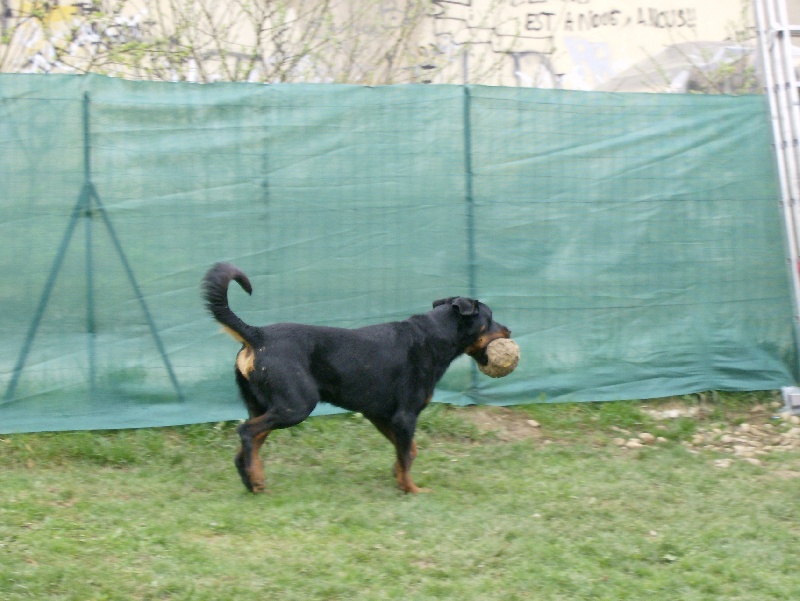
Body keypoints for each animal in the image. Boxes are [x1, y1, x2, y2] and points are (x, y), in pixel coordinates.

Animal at [203, 262, 510, 492]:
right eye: (490, 317)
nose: (508, 330)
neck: (432, 336)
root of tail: (256, 335)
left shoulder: (380, 414)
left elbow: (408, 450)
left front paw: (398, 474)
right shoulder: (404, 416)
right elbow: (407, 455)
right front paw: (411, 489)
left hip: (265, 406)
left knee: (247, 444)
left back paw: (252, 480)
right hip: (295, 405)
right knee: (246, 432)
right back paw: (255, 478)